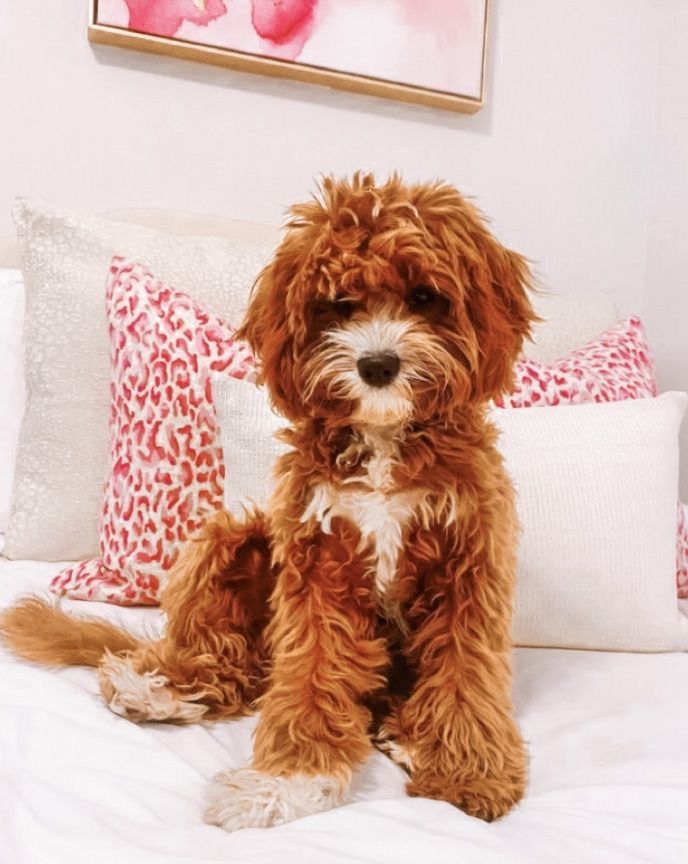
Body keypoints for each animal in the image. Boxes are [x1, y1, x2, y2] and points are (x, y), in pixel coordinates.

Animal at [0, 174, 536, 832]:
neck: (385, 440)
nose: (378, 365)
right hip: (231, 539)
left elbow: (466, 672)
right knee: (233, 666)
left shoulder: (471, 559)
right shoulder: (317, 563)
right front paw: (287, 782)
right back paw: (161, 688)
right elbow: (309, 674)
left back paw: (404, 731)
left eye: (423, 295)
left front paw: (468, 772)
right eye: (340, 303)